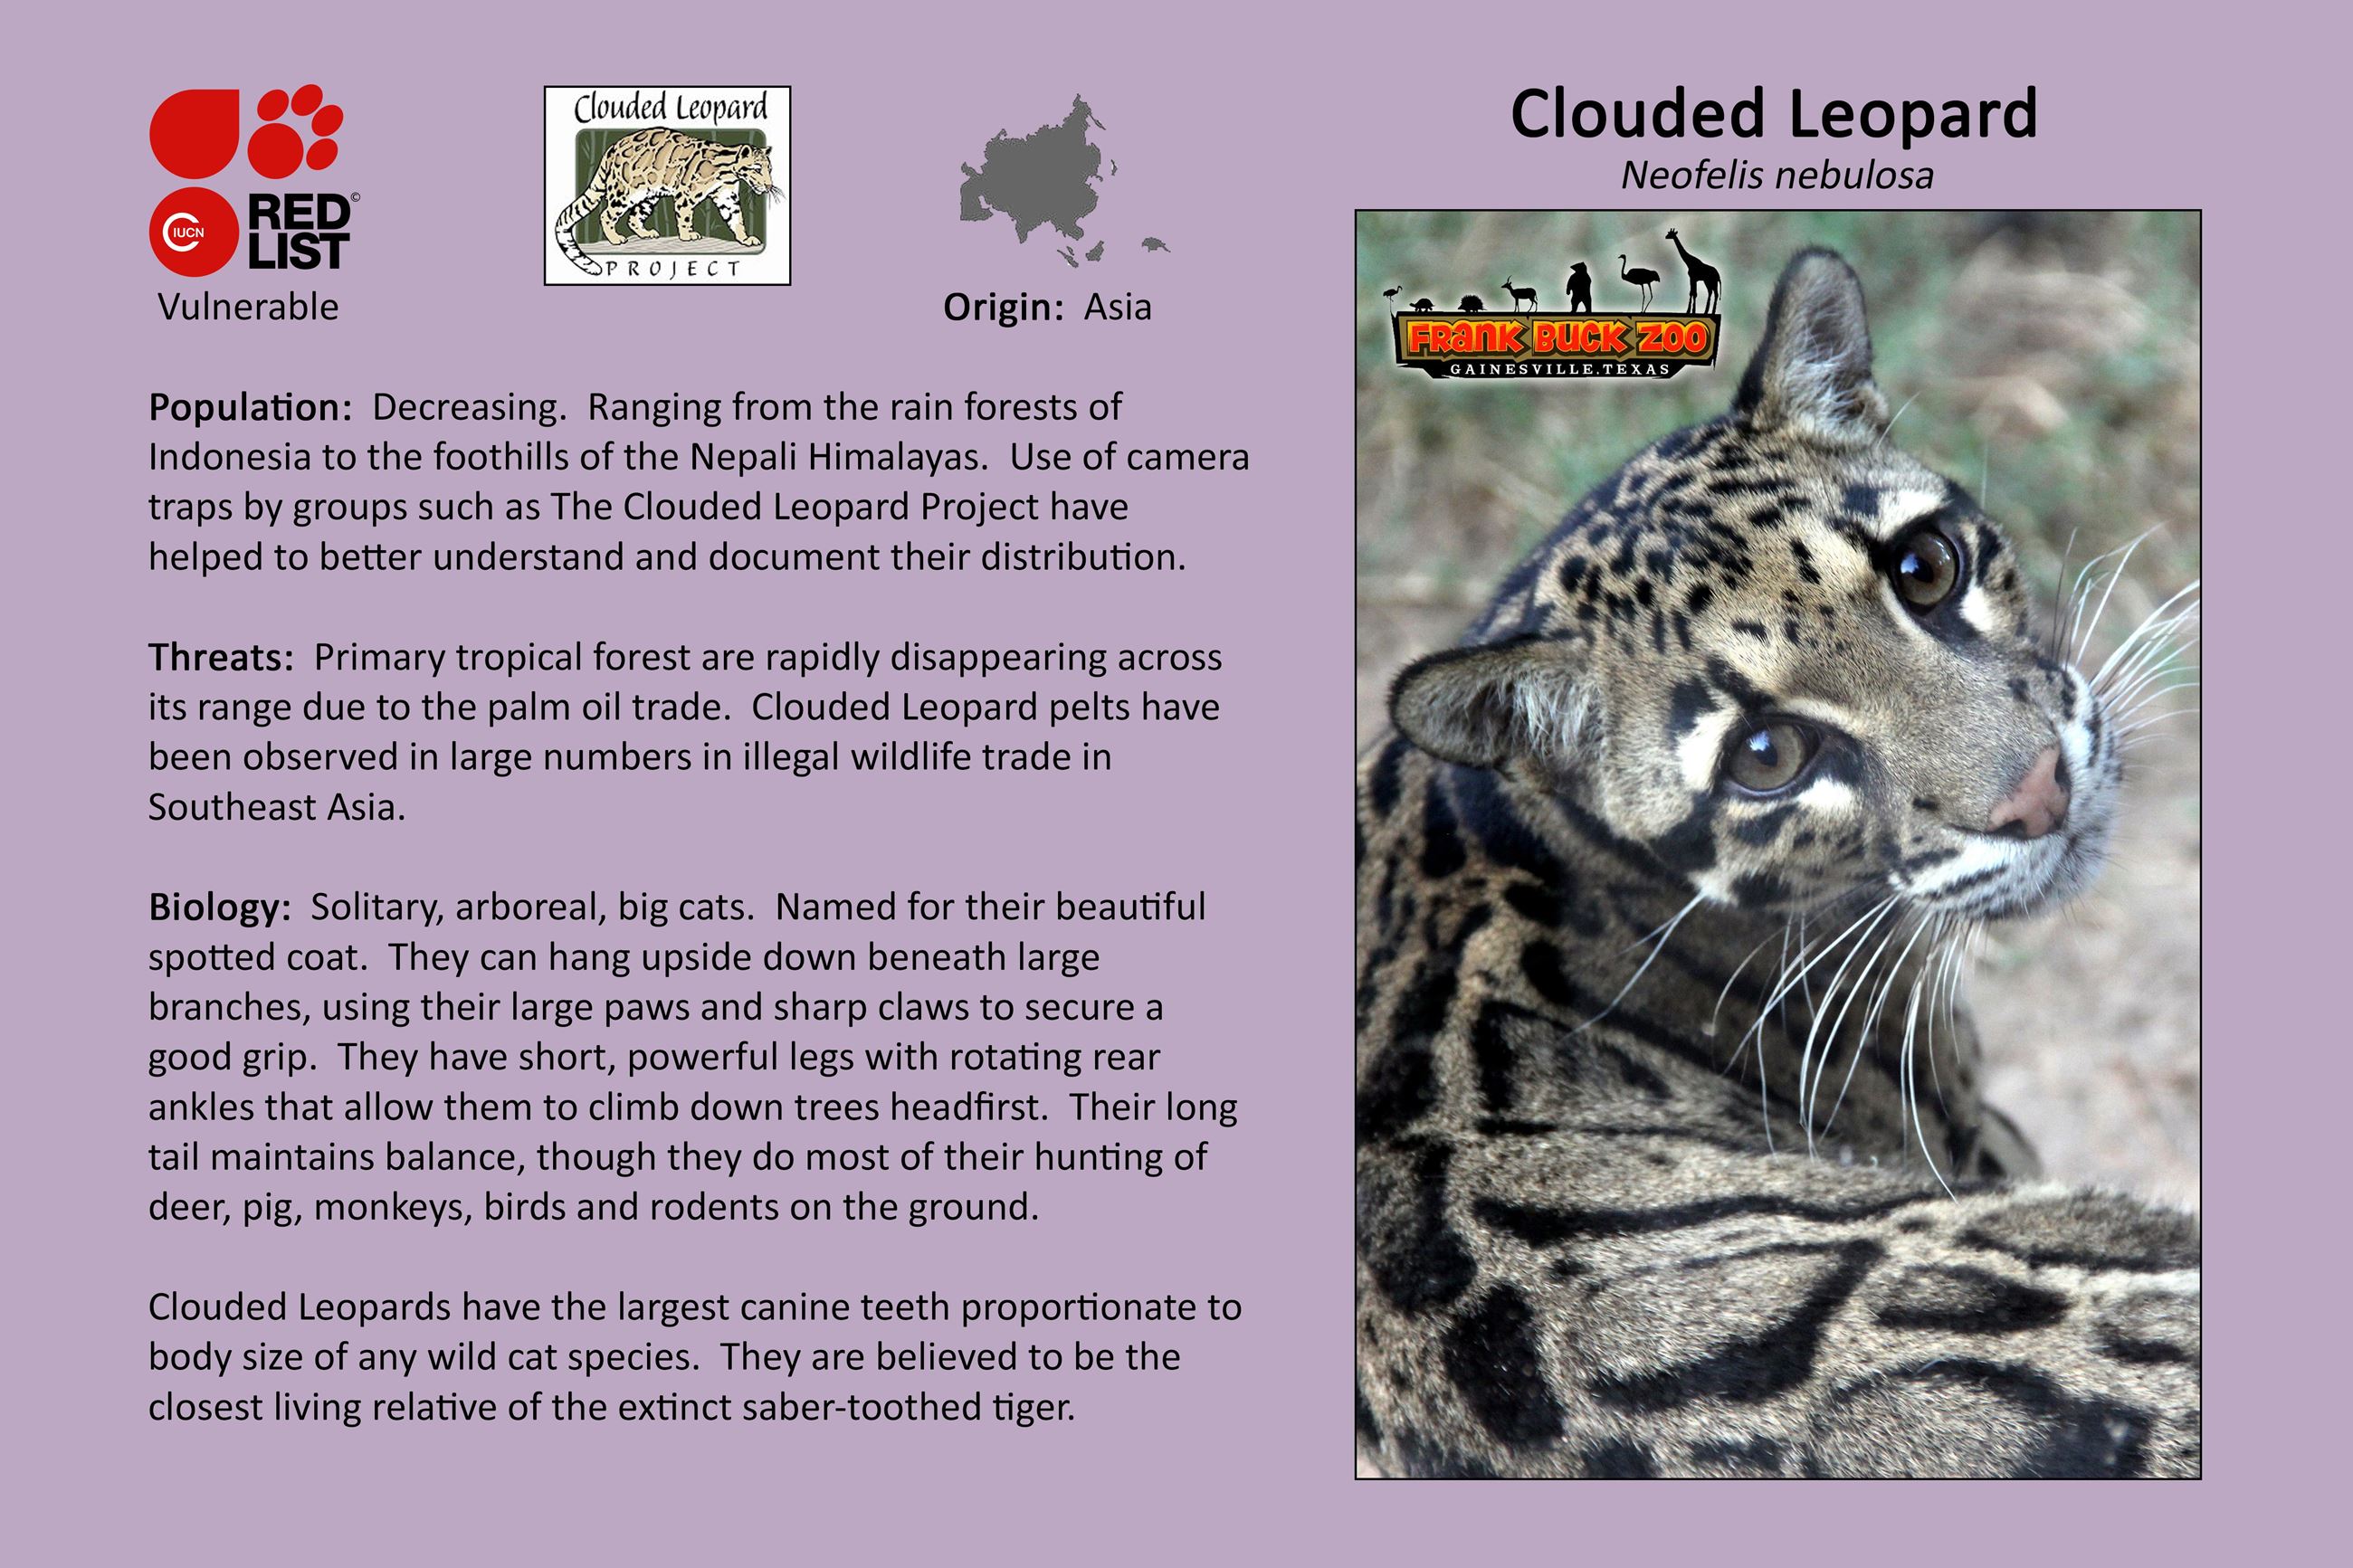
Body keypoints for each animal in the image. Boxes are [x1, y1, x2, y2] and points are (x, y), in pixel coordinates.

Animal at [554, 128, 775, 276]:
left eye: (769, 169)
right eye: (757, 169)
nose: (769, 185)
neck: (727, 174)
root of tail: (612, 148)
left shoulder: (727, 196)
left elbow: (736, 219)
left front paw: (745, 238)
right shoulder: (686, 194)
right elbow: (685, 217)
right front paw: (687, 235)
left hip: (648, 197)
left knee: (633, 218)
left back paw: (645, 233)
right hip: (624, 192)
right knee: (606, 214)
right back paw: (615, 238)